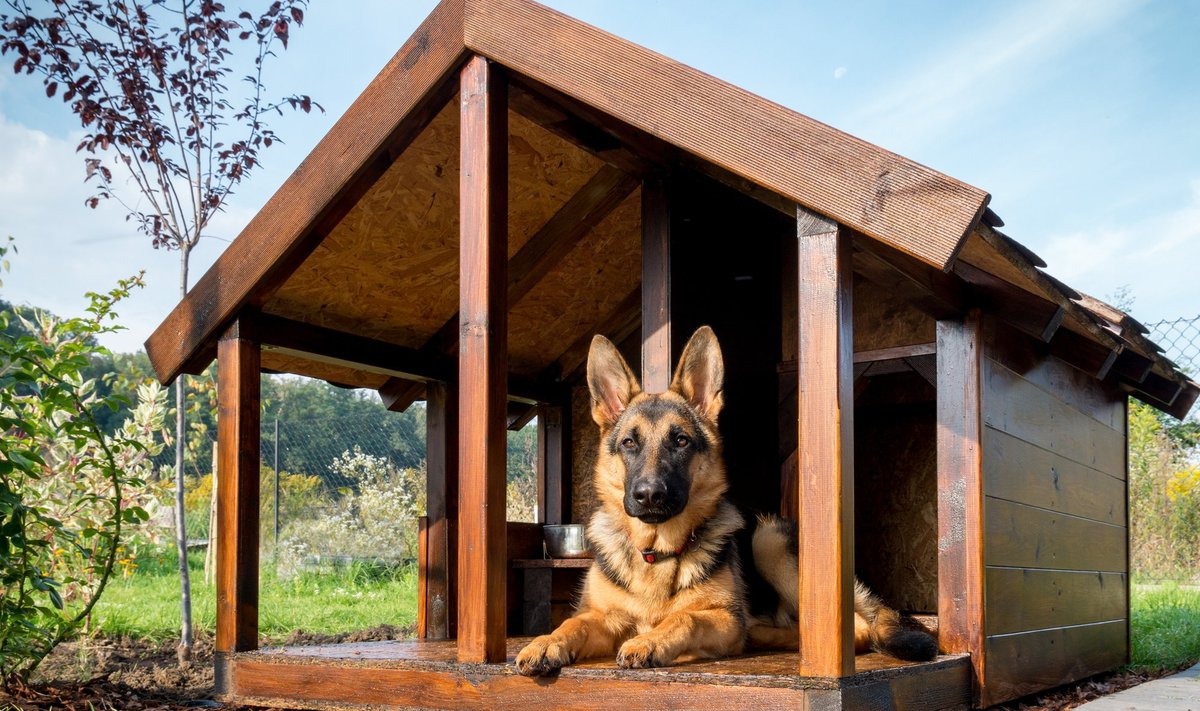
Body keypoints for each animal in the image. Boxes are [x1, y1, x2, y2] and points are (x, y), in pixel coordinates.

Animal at [516, 324, 936, 672]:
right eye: (629, 443)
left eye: (680, 441)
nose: (649, 495)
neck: (657, 552)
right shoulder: (603, 617)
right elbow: (572, 623)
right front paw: (545, 642)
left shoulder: (718, 616)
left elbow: (685, 617)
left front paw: (650, 641)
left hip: (768, 540)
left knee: (857, 628)